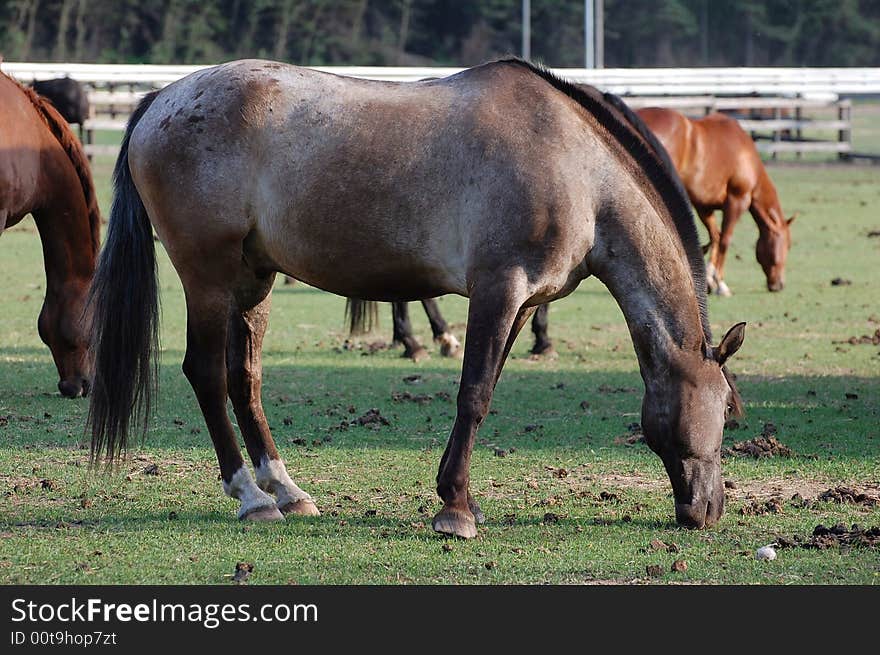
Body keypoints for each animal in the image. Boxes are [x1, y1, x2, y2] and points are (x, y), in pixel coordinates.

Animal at [89, 57, 744, 540]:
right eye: (727, 413)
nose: (707, 512)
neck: (577, 168)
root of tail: (162, 99)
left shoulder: (521, 303)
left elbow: (486, 388)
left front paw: (459, 500)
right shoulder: (499, 289)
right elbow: (474, 395)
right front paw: (455, 511)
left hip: (253, 280)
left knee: (242, 378)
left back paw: (286, 491)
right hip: (209, 276)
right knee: (205, 373)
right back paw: (250, 496)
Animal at [636, 106, 796, 296]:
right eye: (787, 246)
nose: (779, 285)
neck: (745, 153)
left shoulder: (704, 206)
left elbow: (715, 236)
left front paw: (710, 280)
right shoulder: (737, 201)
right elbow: (725, 240)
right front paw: (720, 283)